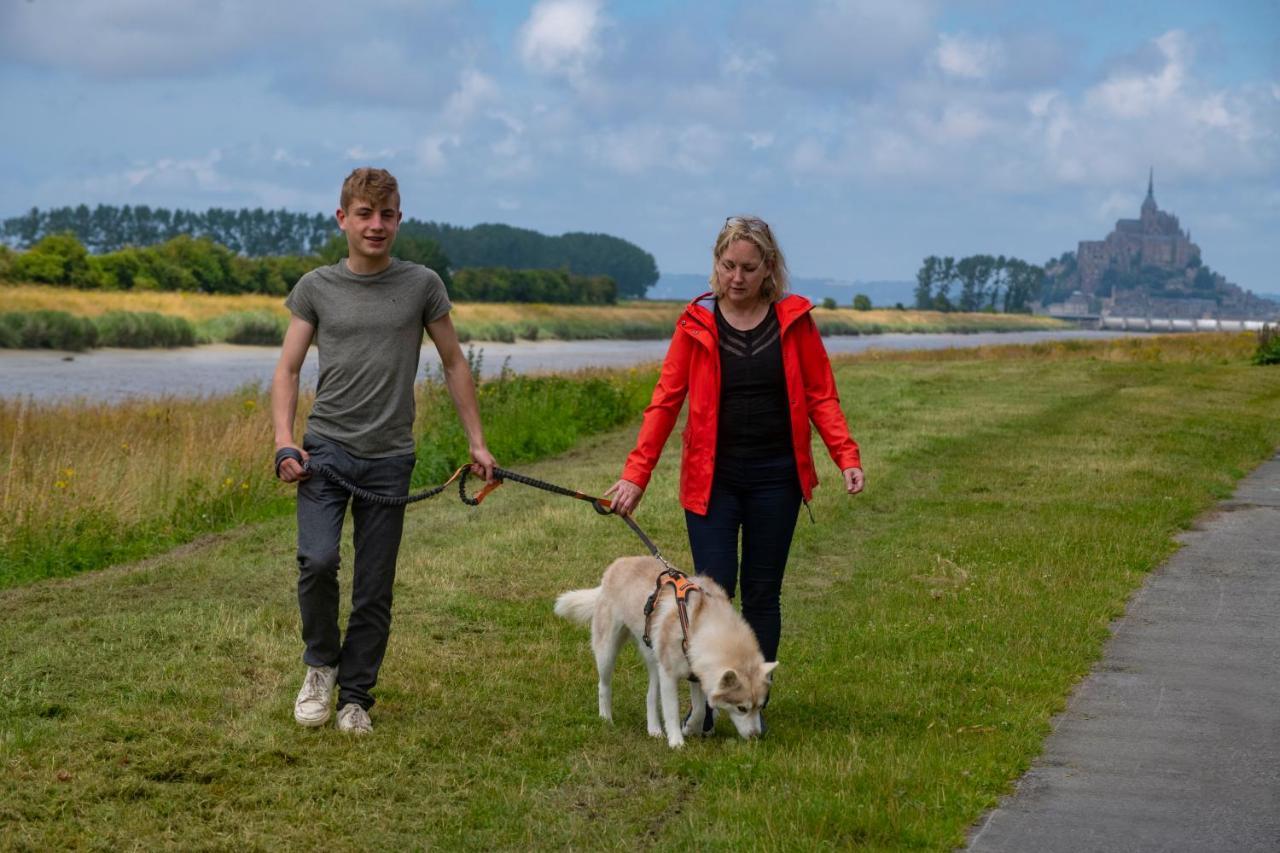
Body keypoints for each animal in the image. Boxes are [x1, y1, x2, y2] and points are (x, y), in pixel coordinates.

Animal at [555, 550, 773, 742]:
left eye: (760, 706)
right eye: (741, 708)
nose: (756, 736)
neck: (698, 622)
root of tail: (617, 565)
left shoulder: (696, 673)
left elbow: (700, 709)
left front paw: (690, 728)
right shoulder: (669, 675)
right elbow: (671, 711)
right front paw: (676, 742)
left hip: (654, 660)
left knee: (651, 696)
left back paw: (654, 730)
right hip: (607, 653)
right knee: (604, 686)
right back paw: (606, 718)